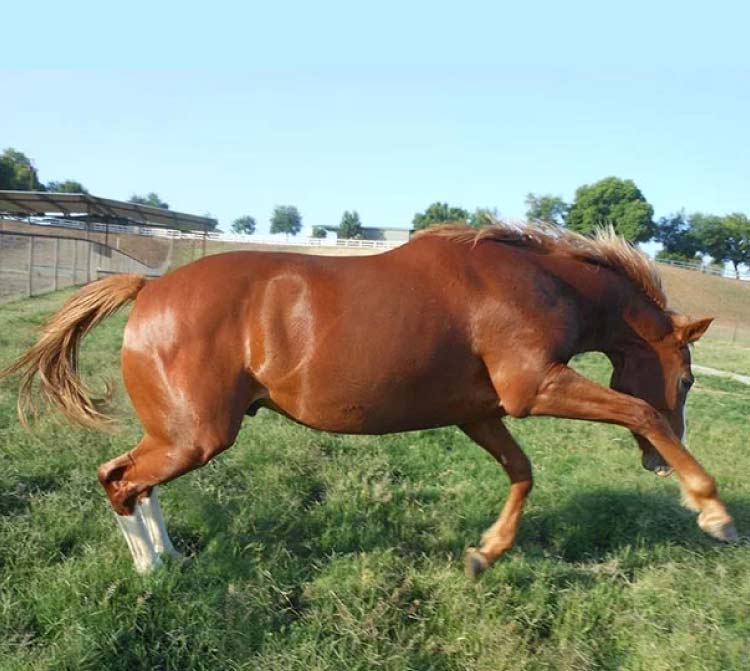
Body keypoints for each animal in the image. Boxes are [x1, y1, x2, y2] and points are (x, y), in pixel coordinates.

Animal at [1, 221, 737, 578]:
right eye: (687, 380)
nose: (654, 464)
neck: (532, 280)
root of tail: (148, 289)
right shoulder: (535, 388)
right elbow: (638, 409)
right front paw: (712, 510)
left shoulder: (480, 413)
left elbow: (523, 473)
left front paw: (485, 553)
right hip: (194, 435)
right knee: (119, 479)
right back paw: (153, 571)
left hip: (179, 435)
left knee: (130, 481)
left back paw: (172, 561)